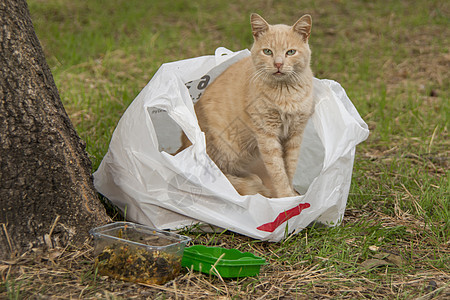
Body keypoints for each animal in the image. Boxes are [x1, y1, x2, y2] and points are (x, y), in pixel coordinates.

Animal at [176, 12, 312, 198]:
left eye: (290, 52)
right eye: (267, 51)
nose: (278, 64)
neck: (285, 92)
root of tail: (182, 146)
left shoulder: (295, 135)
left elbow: (289, 168)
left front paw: (291, 193)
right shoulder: (267, 136)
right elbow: (277, 170)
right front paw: (285, 196)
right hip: (225, 151)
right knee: (222, 179)